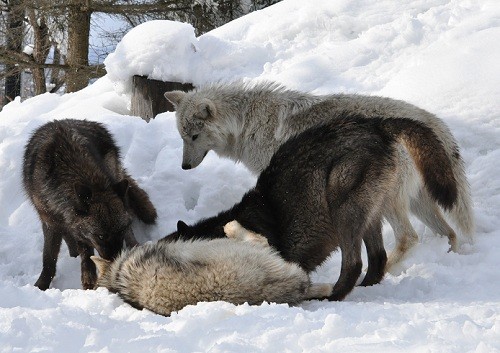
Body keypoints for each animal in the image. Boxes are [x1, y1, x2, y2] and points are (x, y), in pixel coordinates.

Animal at [22, 118, 156, 288]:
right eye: (100, 236)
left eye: (120, 231)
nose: (114, 264)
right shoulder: (49, 221)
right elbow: (48, 258)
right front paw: (41, 285)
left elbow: (85, 249)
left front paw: (88, 278)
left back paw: (134, 246)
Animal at [163, 110, 458, 300]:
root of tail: (376, 124)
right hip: (370, 214)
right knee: (378, 259)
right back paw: (363, 289)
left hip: (342, 207)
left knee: (354, 264)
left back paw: (332, 296)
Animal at [166, 82, 474, 270]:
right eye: (182, 136)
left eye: (194, 136)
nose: (184, 166)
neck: (247, 125)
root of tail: (433, 124)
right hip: (418, 202)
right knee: (448, 233)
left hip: (386, 201)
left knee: (409, 238)